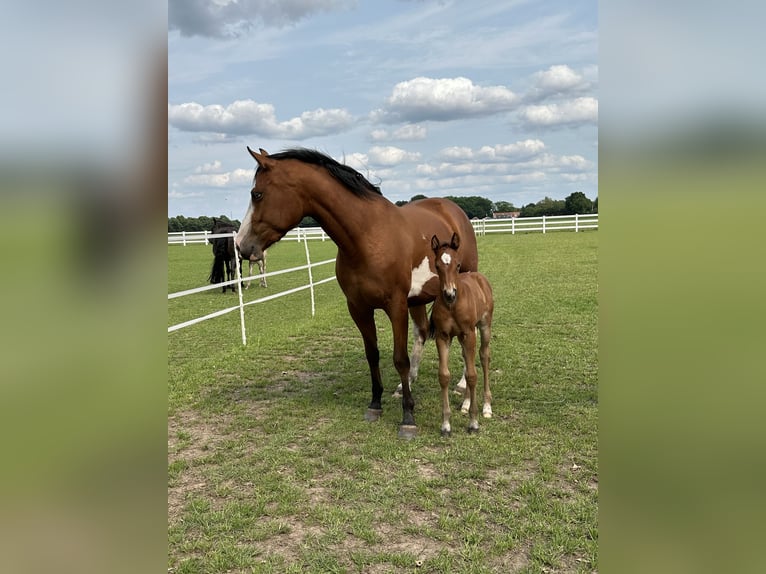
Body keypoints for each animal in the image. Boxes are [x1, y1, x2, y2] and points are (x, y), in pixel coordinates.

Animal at [235, 147, 479, 438]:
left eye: (257, 194)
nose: (241, 245)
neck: (367, 236)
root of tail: (452, 209)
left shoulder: (396, 306)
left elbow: (399, 359)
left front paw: (408, 417)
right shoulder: (359, 308)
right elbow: (372, 354)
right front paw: (376, 404)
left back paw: (462, 387)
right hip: (417, 300)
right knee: (421, 333)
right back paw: (406, 384)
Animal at [430, 232, 494, 436]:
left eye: (457, 265)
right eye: (437, 266)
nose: (449, 294)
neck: (452, 306)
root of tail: (477, 276)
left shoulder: (469, 334)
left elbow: (473, 376)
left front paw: (474, 422)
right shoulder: (443, 336)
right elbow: (444, 376)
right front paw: (446, 425)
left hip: (484, 327)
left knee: (484, 357)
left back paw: (487, 406)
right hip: (462, 336)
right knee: (467, 359)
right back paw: (465, 404)